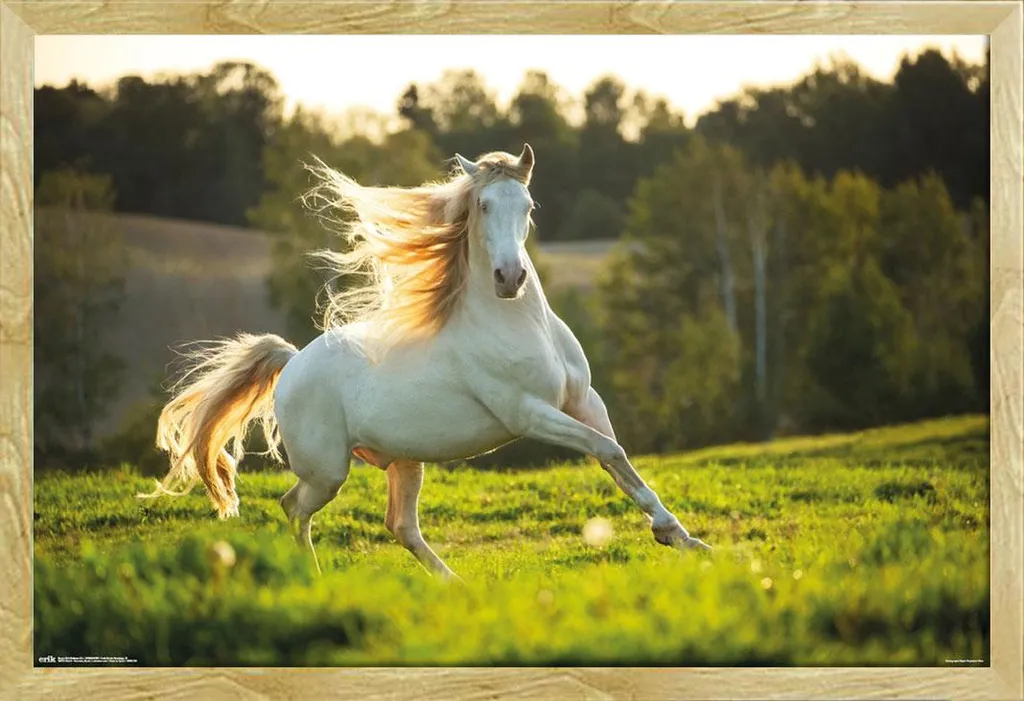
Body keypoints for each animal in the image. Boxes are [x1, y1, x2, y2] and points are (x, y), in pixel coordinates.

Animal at [143, 144, 711, 580]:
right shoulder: (529, 414)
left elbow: (619, 459)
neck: (517, 325)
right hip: (328, 471)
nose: (510, 278)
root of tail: (293, 360)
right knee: (294, 507)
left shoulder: (583, 401)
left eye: (528, 204)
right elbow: (607, 450)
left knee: (400, 525)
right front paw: (672, 536)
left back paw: (453, 584)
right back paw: (316, 578)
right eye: (483, 205)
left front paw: (684, 539)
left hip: (403, 461)